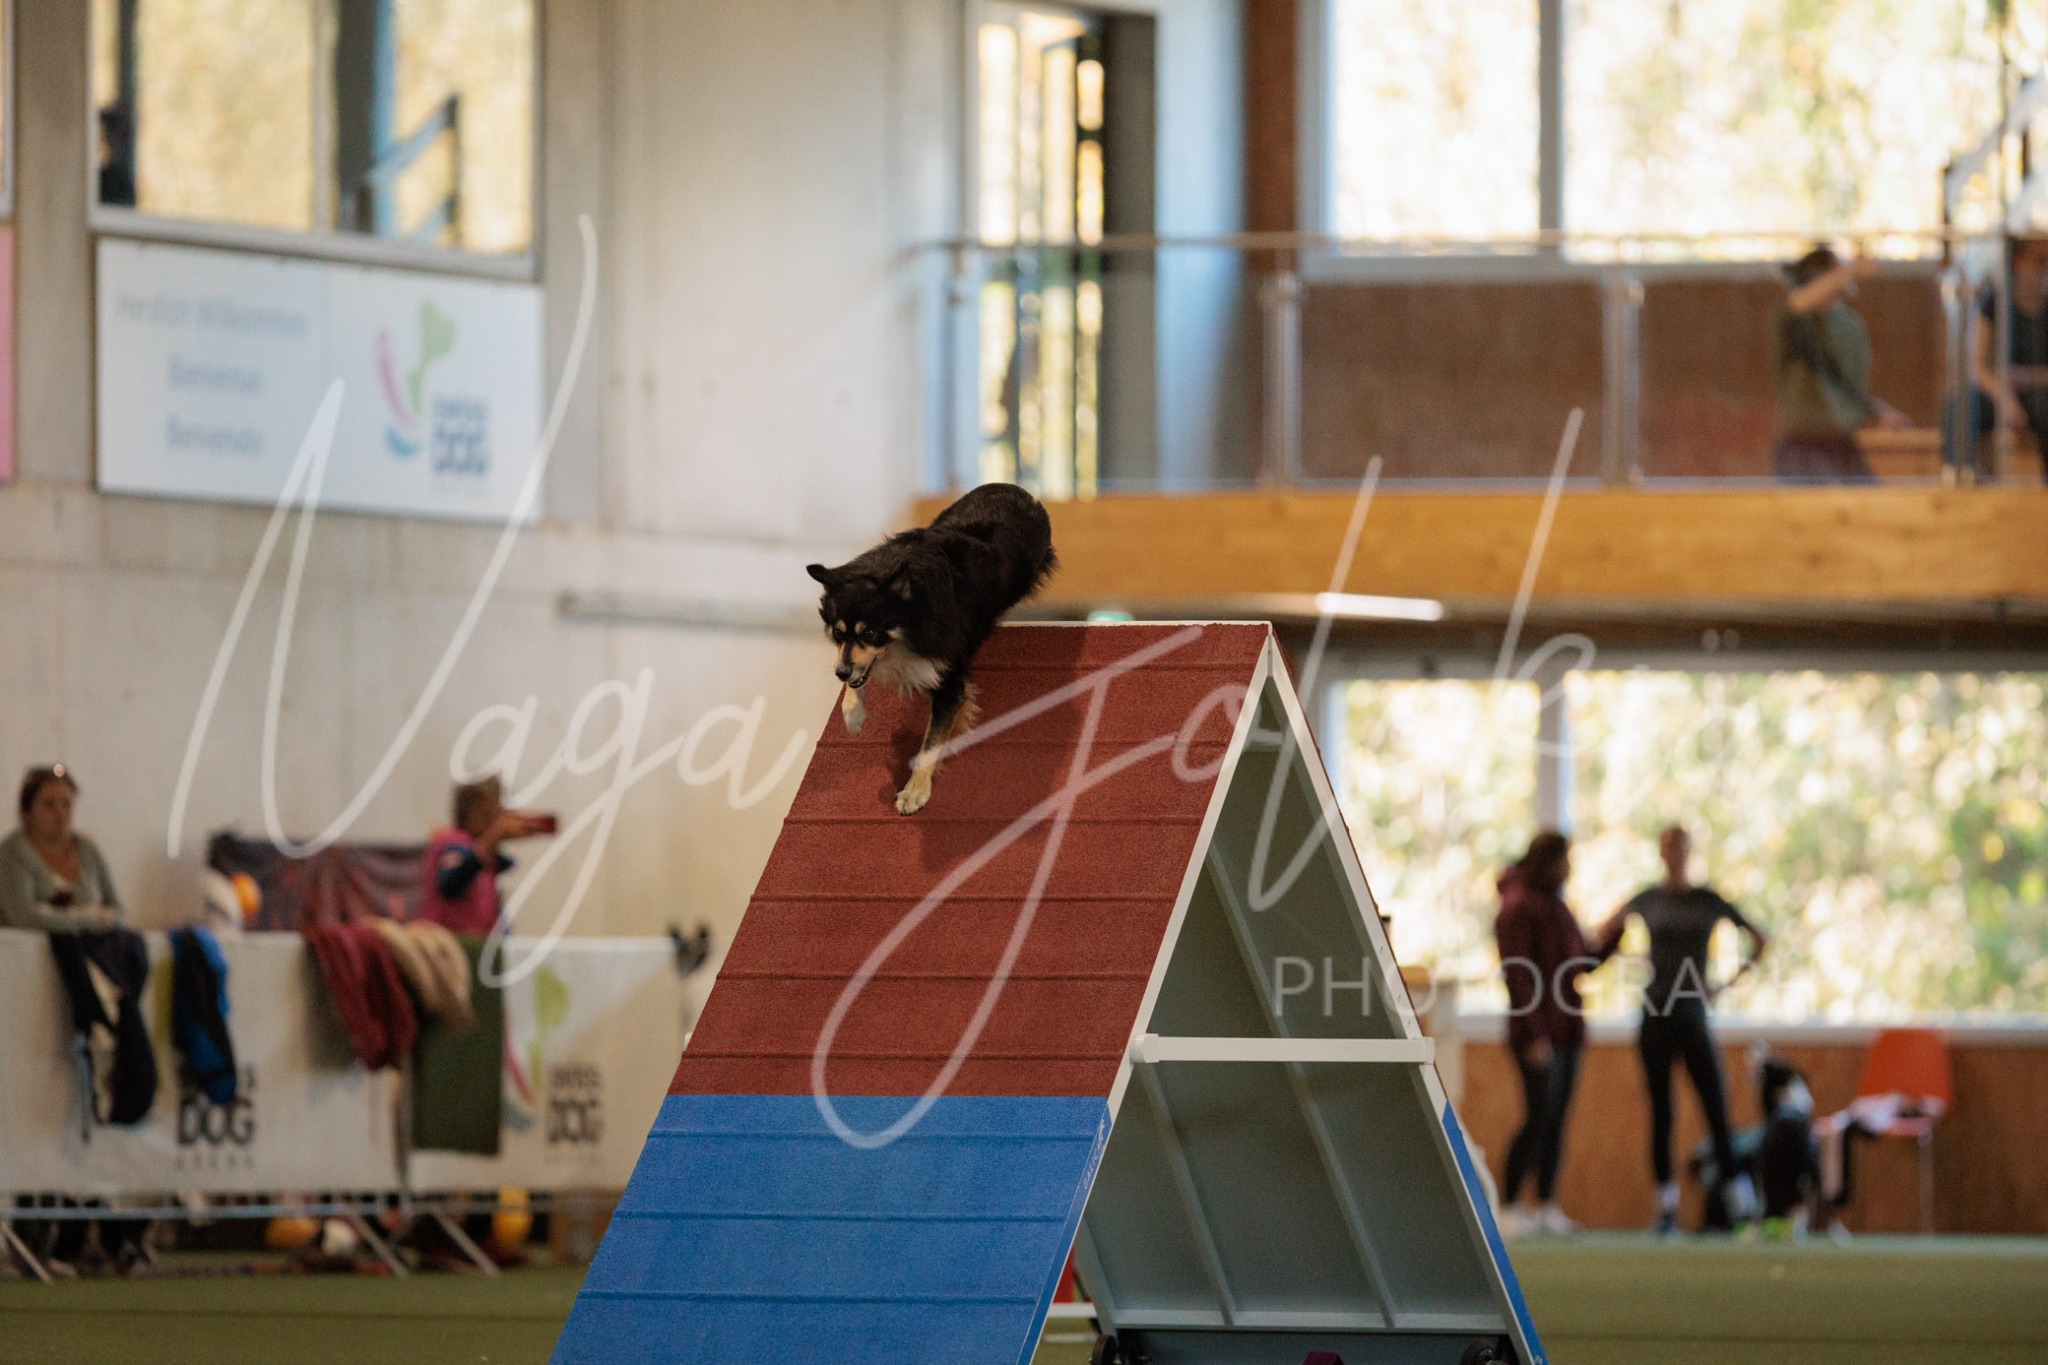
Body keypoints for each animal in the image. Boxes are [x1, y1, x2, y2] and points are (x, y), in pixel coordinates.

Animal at [807, 483, 1056, 814]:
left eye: (870, 632)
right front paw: (854, 715)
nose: (840, 674)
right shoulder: (854, 659)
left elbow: (930, 742)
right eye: (837, 632)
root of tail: (1016, 489)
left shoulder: (950, 681)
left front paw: (915, 791)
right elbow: (855, 680)